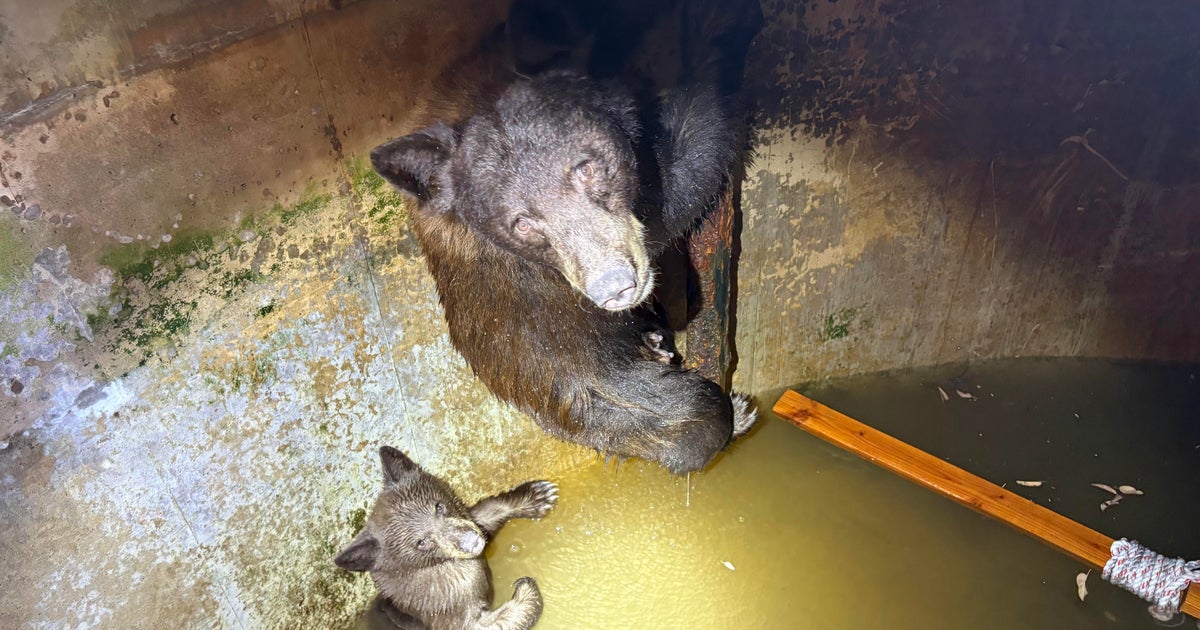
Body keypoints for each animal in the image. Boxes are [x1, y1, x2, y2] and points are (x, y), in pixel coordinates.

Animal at [335, 446, 558, 630]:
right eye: (421, 542)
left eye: (439, 506)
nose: (471, 541)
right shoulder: (444, 611)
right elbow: (486, 623)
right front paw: (525, 589)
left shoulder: (466, 519)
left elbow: (485, 513)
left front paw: (539, 495)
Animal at [369, 2, 761, 473]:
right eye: (521, 222)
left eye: (586, 167)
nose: (615, 286)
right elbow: (683, 179)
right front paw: (719, 30)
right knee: (681, 415)